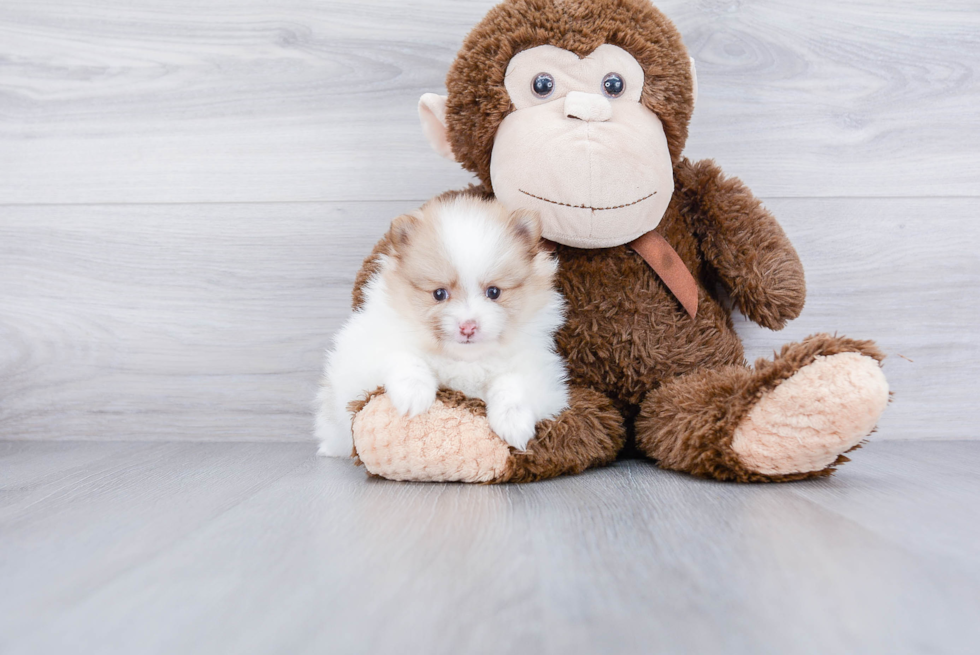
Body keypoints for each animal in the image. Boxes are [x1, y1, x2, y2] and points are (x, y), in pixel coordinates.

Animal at [318, 196, 572, 456]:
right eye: (439, 294)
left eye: (494, 292)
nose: (468, 326)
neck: (463, 360)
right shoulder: (365, 353)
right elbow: (404, 356)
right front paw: (414, 394)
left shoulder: (542, 375)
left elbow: (512, 383)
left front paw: (514, 421)